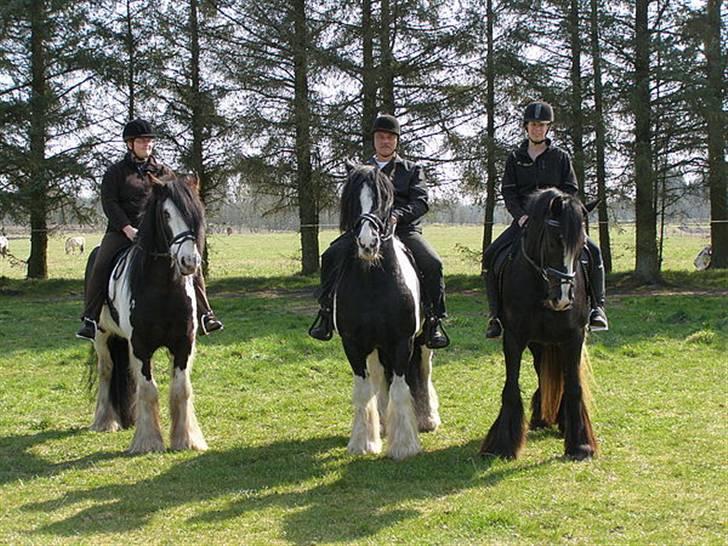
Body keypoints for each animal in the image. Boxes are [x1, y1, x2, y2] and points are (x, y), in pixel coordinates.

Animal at [87, 173, 210, 450]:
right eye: (165, 214)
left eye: (196, 213)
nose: (190, 262)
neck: (162, 289)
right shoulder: (141, 346)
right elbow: (148, 389)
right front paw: (148, 441)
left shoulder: (183, 344)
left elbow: (181, 389)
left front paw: (186, 439)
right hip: (101, 336)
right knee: (106, 370)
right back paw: (105, 421)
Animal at [332, 160, 440, 460]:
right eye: (352, 199)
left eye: (385, 198)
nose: (368, 244)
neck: (373, 281)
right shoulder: (353, 344)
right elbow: (363, 390)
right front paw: (363, 442)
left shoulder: (402, 342)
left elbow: (402, 389)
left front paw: (404, 445)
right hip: (375, 348)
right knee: (380, 378)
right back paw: (381, 422)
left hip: (422, 342)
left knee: (423, 372)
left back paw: (427, 419)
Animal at [478, 187, 596, 460]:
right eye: (553, 241)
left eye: (581, 246)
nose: (562, 299)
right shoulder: (514, 338)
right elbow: (511, 387)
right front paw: (502, 444)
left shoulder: (573, 337)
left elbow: (573, 387)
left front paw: (580, 445)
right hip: (537, 342)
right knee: (541, 370)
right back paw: (543, 416)